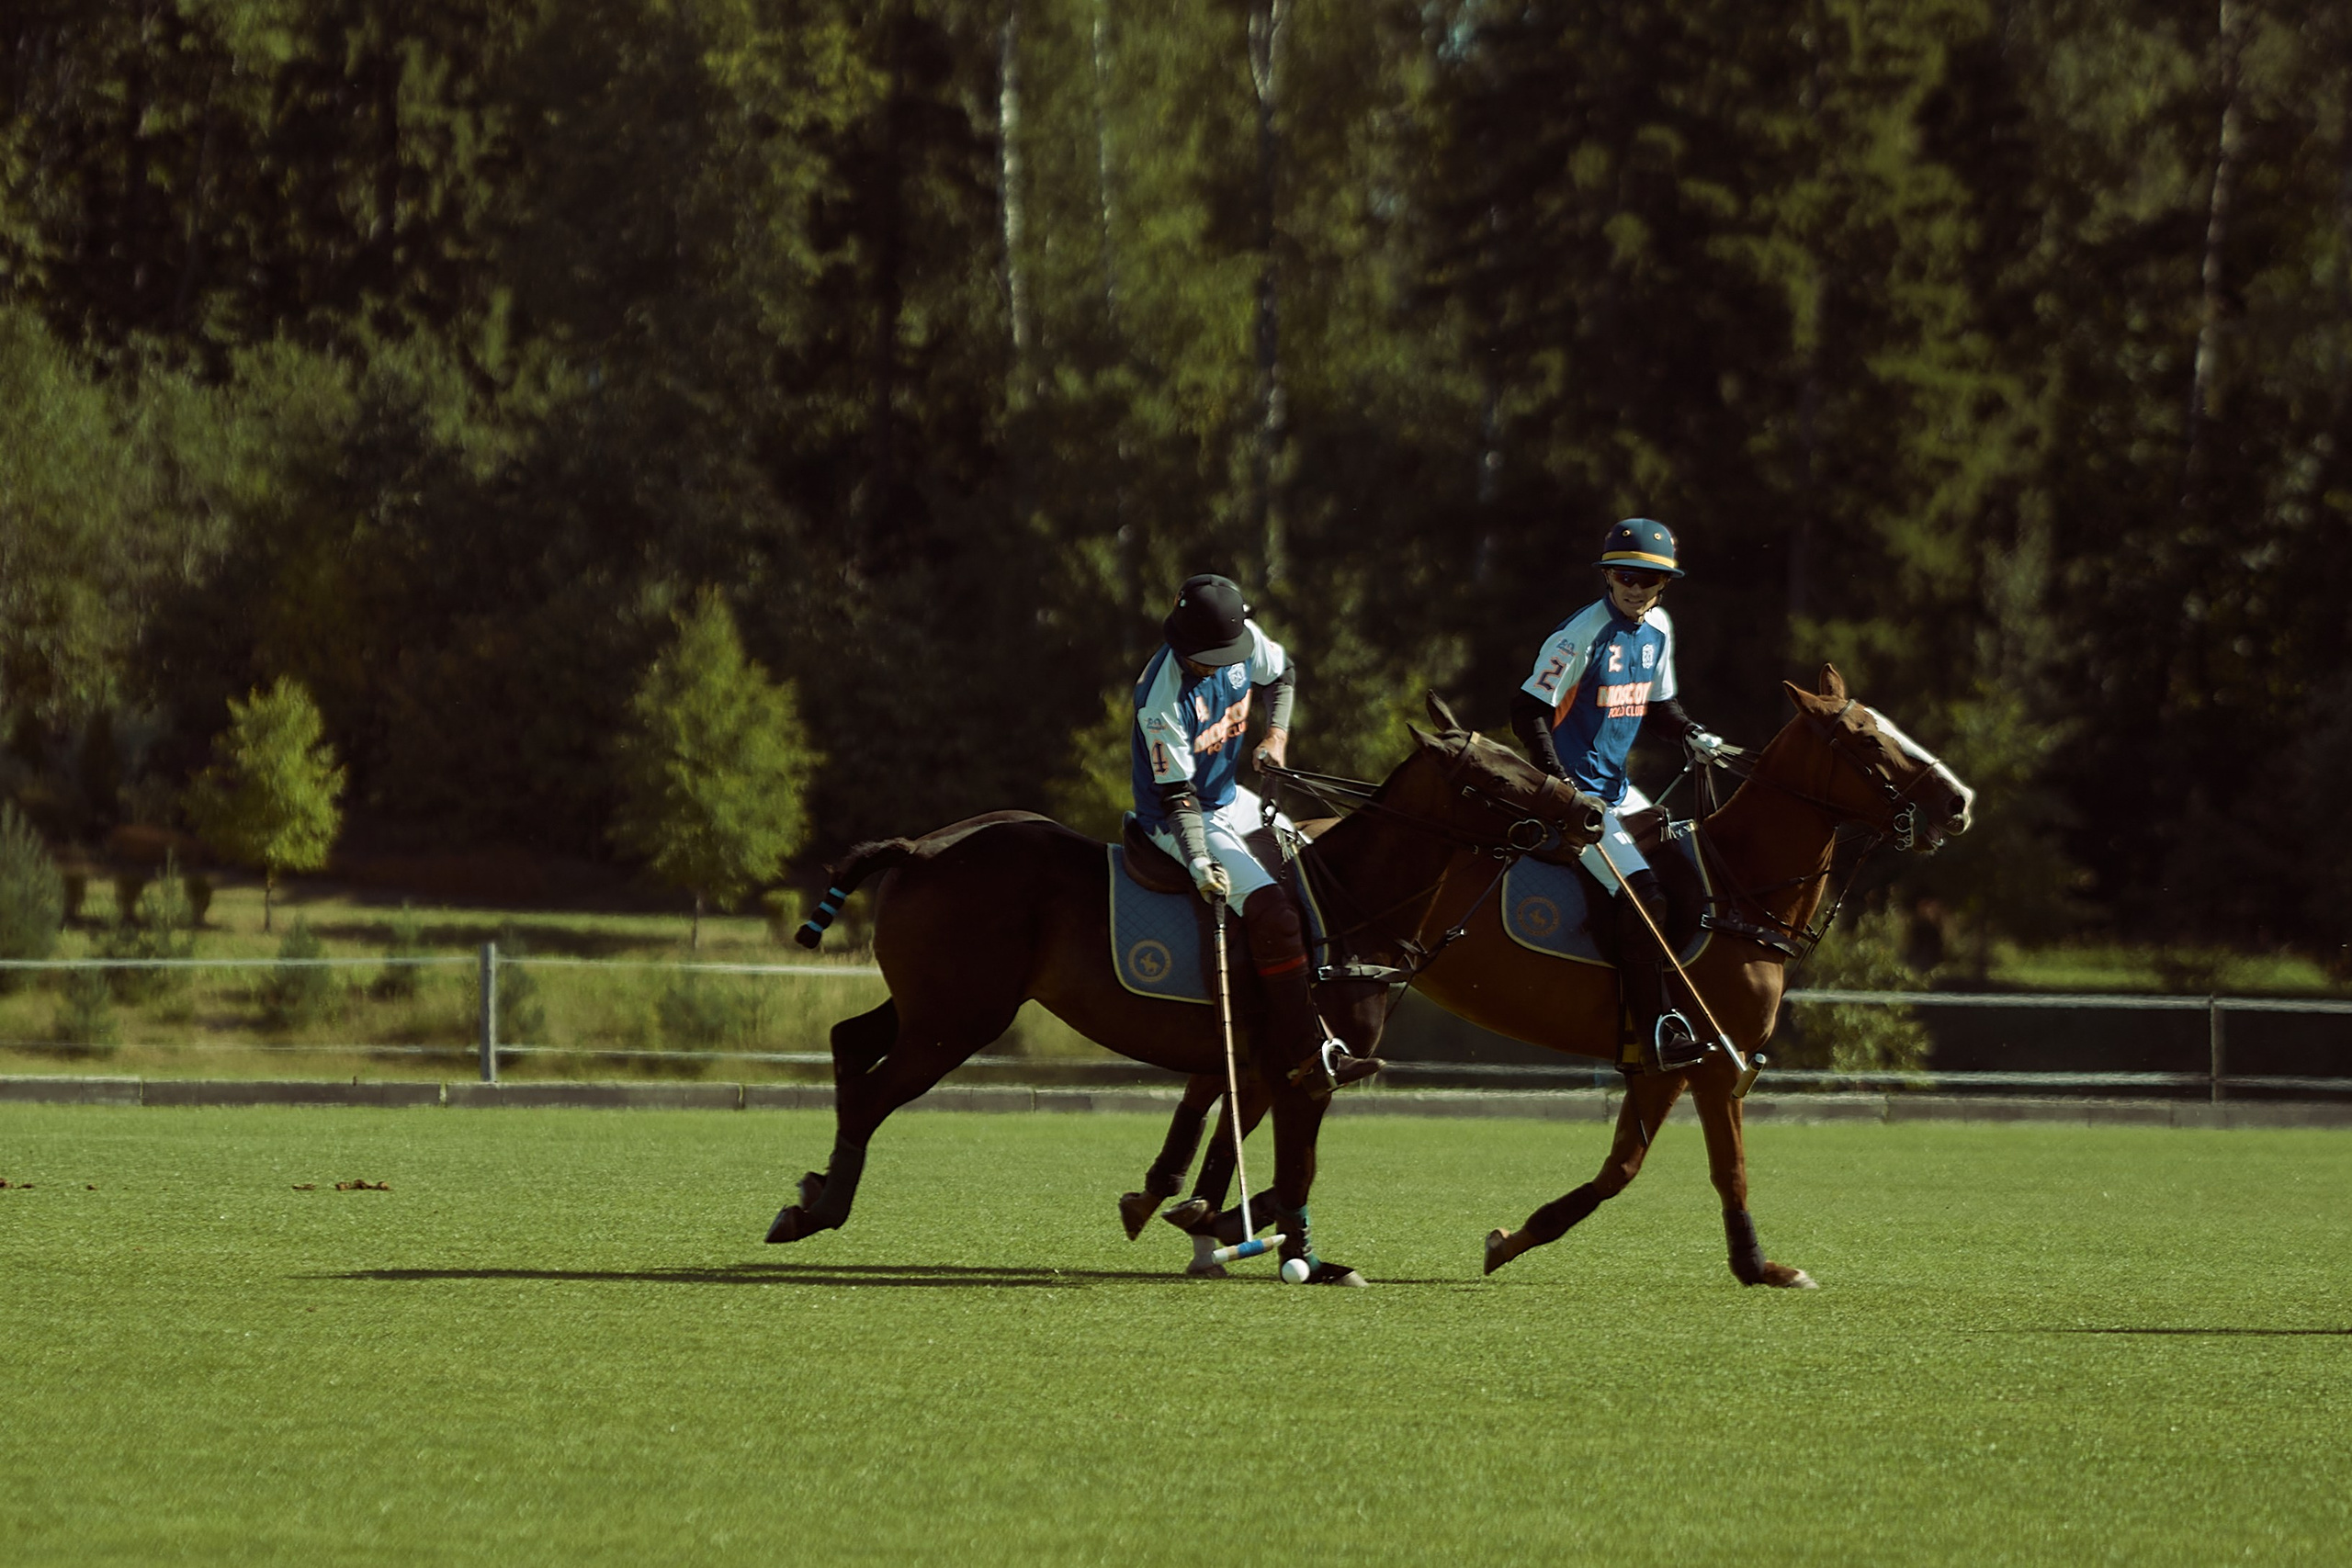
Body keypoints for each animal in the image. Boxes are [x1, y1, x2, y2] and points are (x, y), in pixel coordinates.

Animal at [765, 697, 1605, 1284]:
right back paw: (817, 1211)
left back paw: (815, 1183)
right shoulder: (1308, 1069)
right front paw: (1306, 1259)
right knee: (874, 1093)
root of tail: (920, 845)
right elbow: (1295, 1163)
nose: (1592, 813)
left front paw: (1201, 1222)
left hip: (933, 1002)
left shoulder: (1257, 1061)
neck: (1348, 905)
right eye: (1495, 777)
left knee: (848, 1041)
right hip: (960, 1019)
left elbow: (1223, 1144)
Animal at [1120, 665, 1974, 1288]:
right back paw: (1196, 1206)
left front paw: (1513, 1237)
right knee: (1254, 1074)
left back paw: (1178, 1203)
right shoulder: (1706, 1061)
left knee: (1243, 1072)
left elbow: (1622, 1169)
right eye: (1864, 738)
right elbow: (1720, 1169)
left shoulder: (1662, 1061)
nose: (1959, 802)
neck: (1739, 887)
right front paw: (1762, 1266)